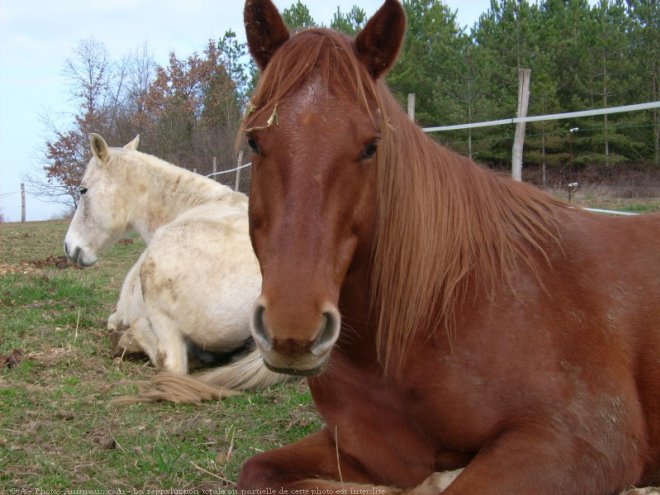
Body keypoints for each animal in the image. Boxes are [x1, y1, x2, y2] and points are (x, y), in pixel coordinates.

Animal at [238, 1, 660, 494]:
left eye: (371, 147)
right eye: (254, 140)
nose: (293, 330)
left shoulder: (579, 441)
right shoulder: (372, 450)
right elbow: (256, 470)